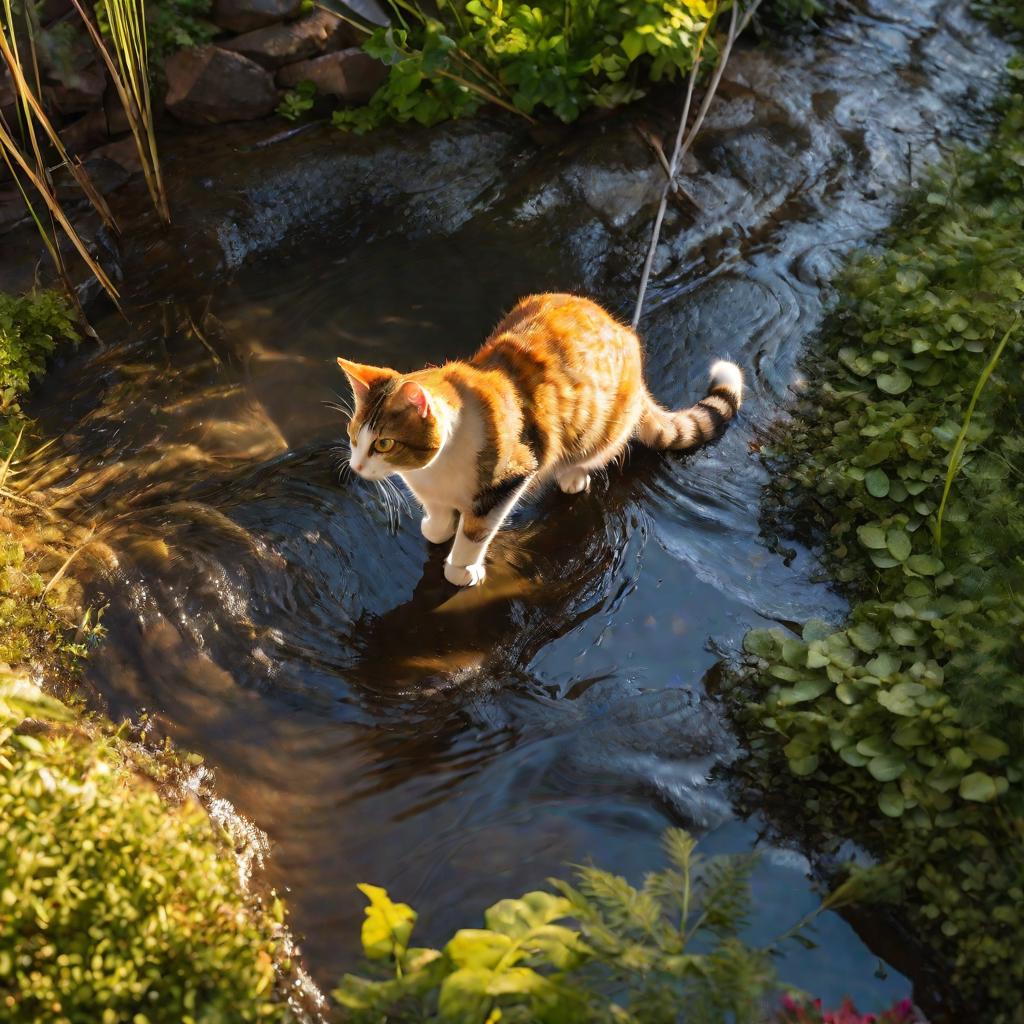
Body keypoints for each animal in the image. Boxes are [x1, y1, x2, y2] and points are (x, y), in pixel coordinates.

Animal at [337, 292, 745, 589]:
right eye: (354, 436)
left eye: (384, 444)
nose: (355, 466)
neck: (435, 469)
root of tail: (623, 332)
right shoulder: (433, 493)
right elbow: (438, 521)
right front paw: (437, 529)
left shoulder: (510, 478)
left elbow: (474, 534)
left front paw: (463, 571)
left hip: (601, 426)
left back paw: (573, 475)